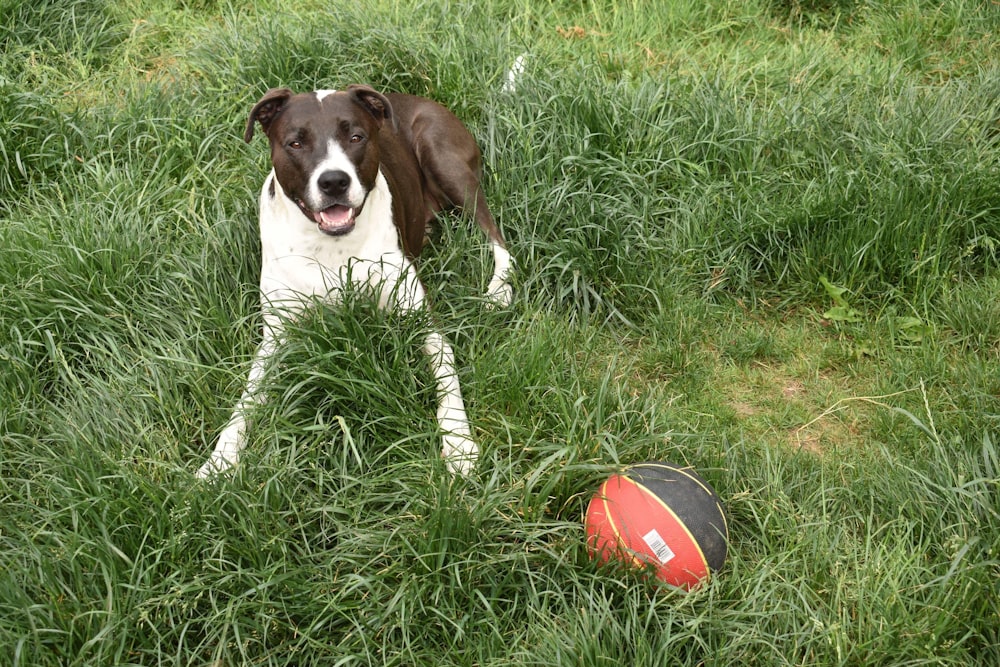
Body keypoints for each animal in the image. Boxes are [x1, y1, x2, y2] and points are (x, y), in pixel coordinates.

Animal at [196, 85, 512, 480]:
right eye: (295, 143)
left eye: (356, 137)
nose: (334, 181)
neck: (330, 246)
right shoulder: (277, 337)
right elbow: (248, 398)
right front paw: (220, 459)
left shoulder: (422, 320)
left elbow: (446, 376)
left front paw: (459, 443)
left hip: (444, 159)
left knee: (494, 234)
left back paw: (499, 288)